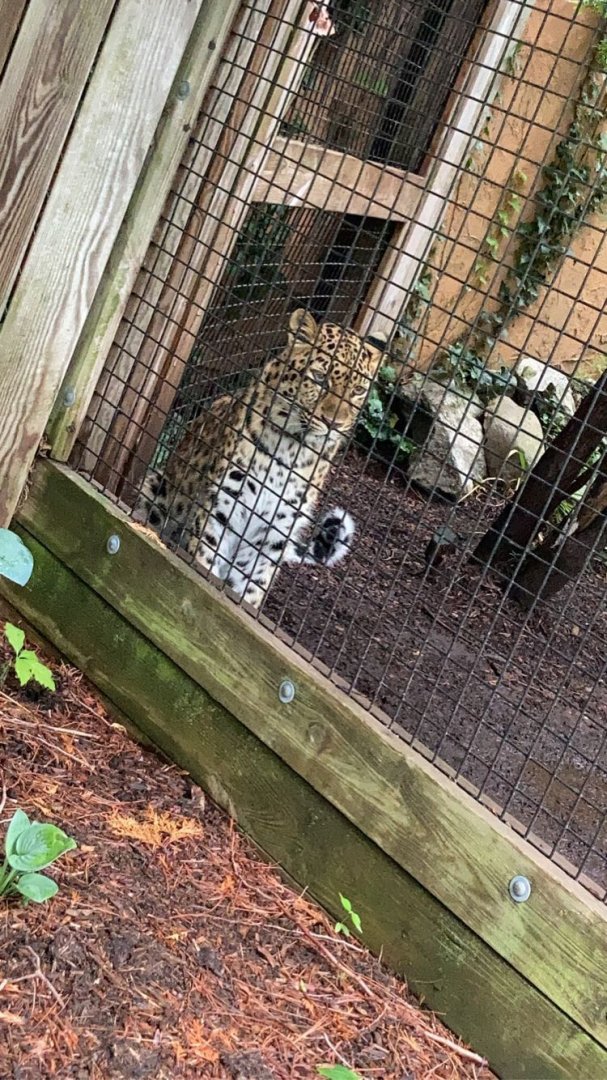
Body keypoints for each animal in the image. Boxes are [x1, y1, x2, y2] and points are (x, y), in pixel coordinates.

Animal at [134, 308, 386, 607]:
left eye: (358, 391)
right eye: (319, 377)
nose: (334, 423)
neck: (292, 450)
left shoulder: (271, 538)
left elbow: (249, 592)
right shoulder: (221, 511)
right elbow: (202, 567)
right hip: (155, 486)